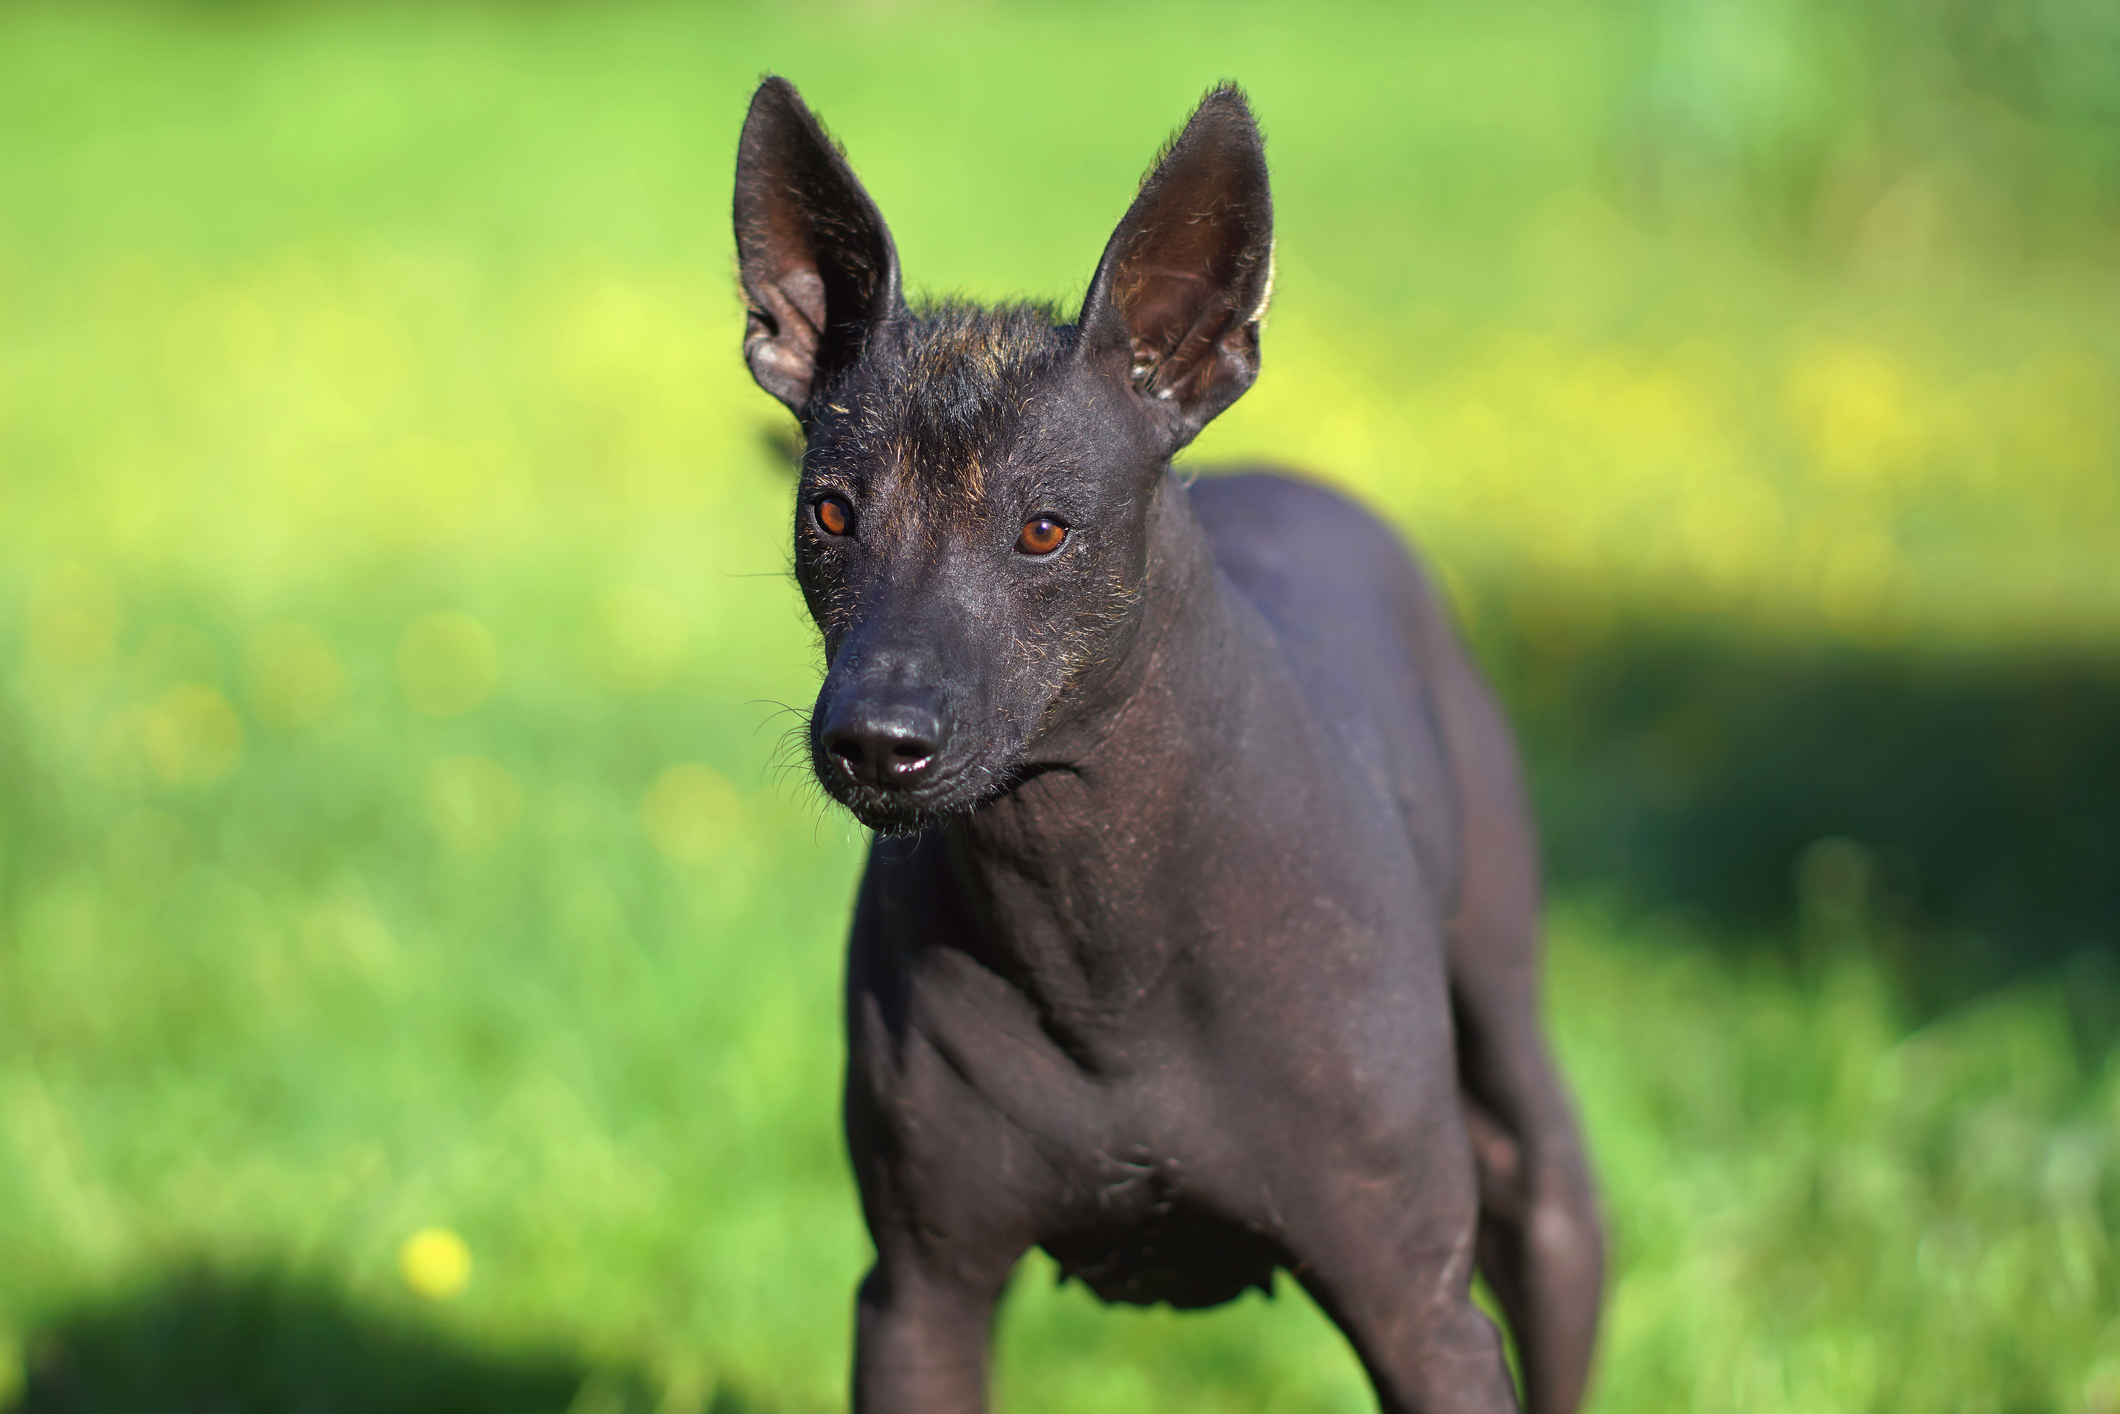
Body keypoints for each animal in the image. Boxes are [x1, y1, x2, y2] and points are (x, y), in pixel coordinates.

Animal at [737, 77, 1594, 1414]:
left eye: (1043, 529)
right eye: (828, 513)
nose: (876, 740)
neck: (1099, 934)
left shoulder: (1422, 1315)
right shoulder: (919, 1295)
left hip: (1522, 1093)